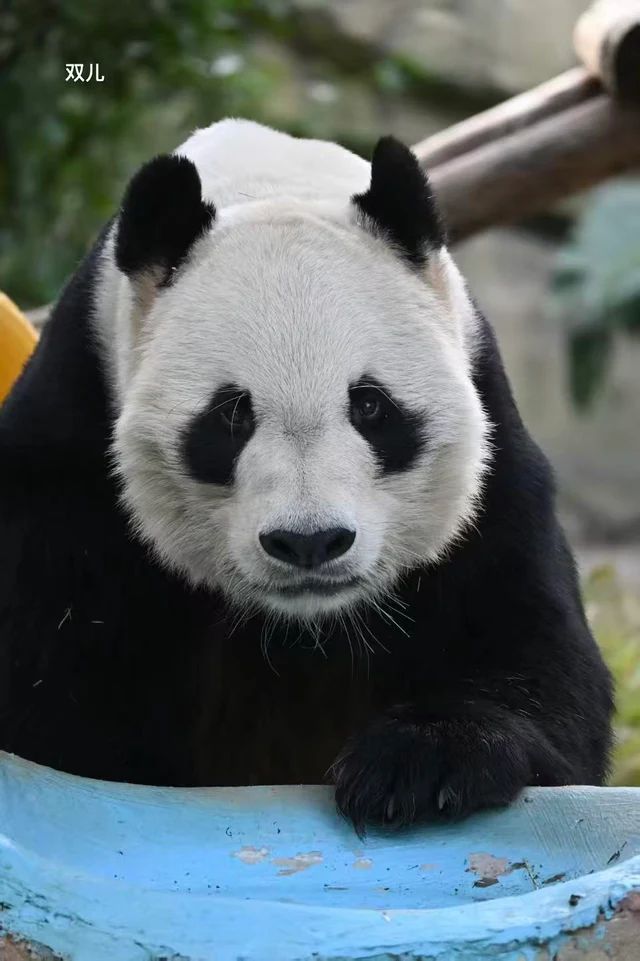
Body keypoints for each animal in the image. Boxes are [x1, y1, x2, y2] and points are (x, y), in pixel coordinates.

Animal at [0, 119, 613, 832]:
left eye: (370, 406)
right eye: (231, 416)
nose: (309, 542)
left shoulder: (492, 457)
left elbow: (534, 657)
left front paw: (418, 766)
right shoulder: (71, 448)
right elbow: (47, 685)